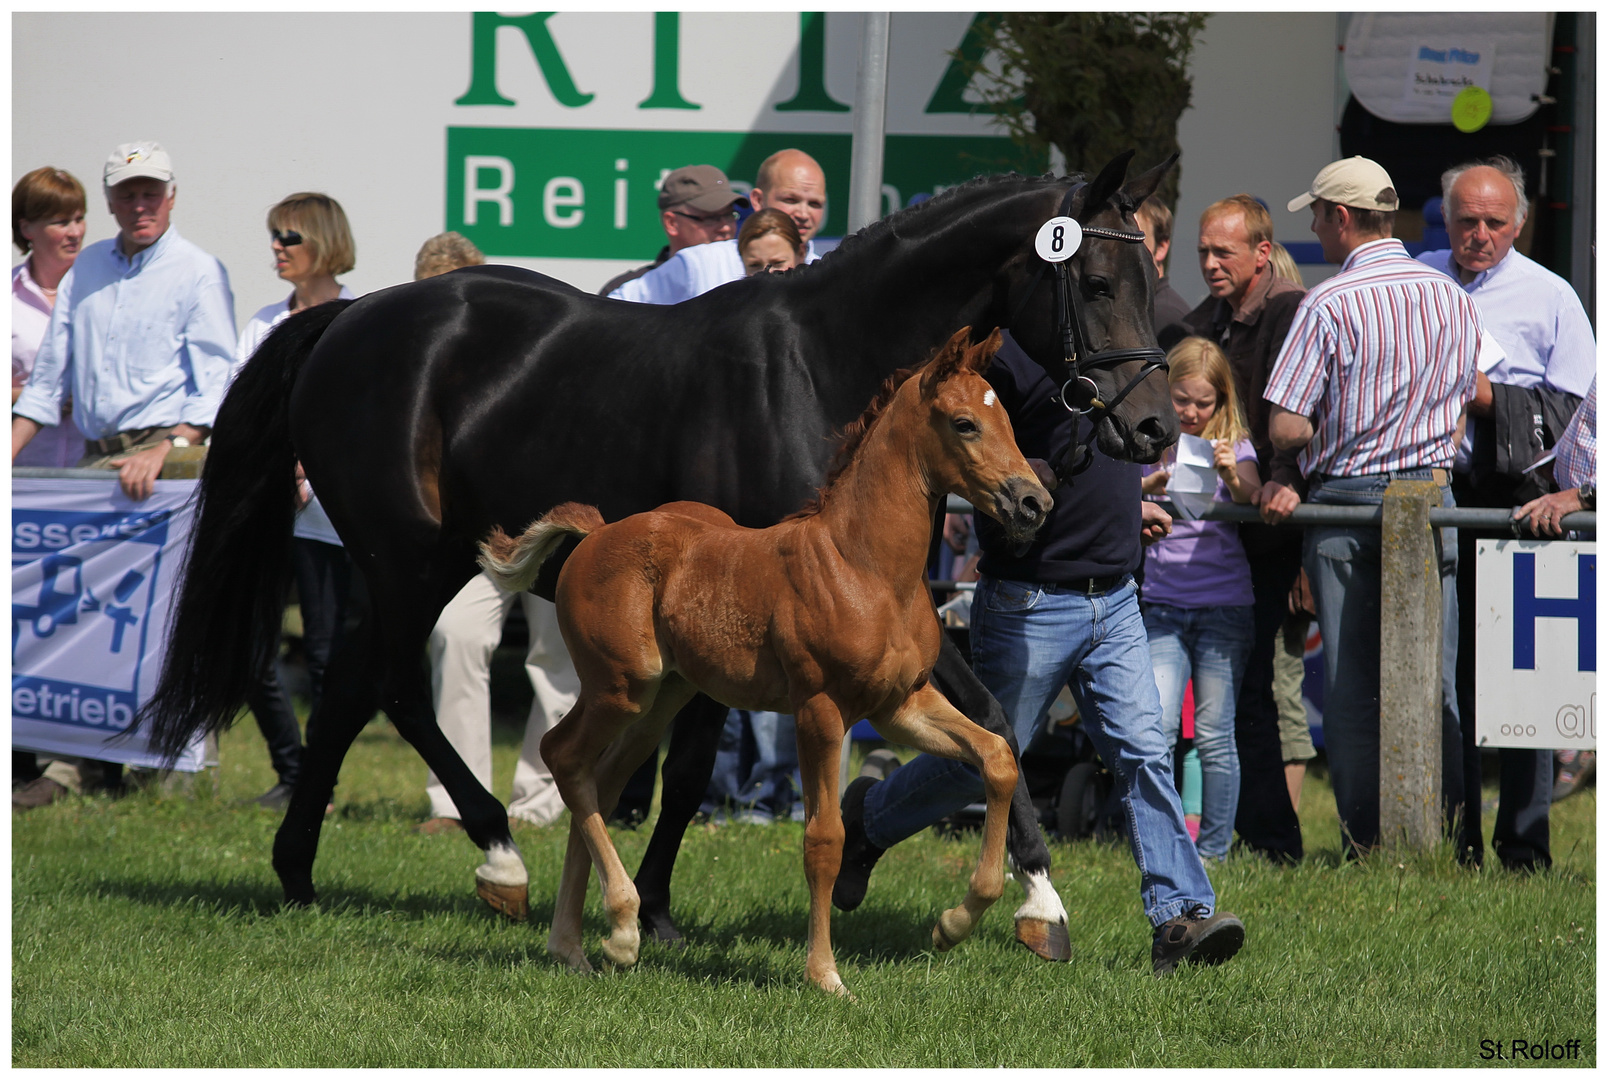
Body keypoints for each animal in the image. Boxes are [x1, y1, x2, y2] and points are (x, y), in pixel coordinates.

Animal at [475, 326, 1054, 996]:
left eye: (1008, 418)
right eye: (965, 424)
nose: (1034, 502)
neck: (868, 568)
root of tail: (596, 533)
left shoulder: (900, 707)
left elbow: (997, 757)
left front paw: (954, 924)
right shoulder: (820, 711)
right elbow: (824, 839)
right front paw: (825, 975)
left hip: (662, 698)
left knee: (600, 779)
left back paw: (576, 946)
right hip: (619, 687)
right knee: (564, 757)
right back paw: (620, 929)